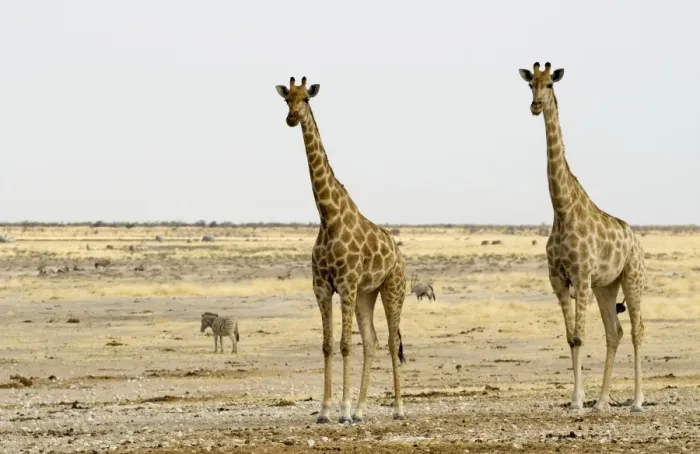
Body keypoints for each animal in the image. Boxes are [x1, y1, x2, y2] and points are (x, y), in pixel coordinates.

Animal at [275, 77, 407, 423]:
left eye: (306, 98)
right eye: (286, 99)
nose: (291, 118)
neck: (328, 216)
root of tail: (399, 254)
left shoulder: (345, 283)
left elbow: (346, 344)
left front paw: (343, 411)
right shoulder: (322, 286)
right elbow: (327, 345)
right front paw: (325, 411)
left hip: (392, 289)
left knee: (391, 342)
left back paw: (397, 409)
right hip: (366, 294)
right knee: (372, 341)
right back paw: (361, 411)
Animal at [518, 62, 646, 412]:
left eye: (550, 84)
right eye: (530, 84)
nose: (535, 106)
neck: (562, 211)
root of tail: (636, 240)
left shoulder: (581, 274)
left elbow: (580, 335)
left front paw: (577, 400)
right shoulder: (559, 278)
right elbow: (571, 337)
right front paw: (577, 398)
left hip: (632, 277)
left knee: (637, 331)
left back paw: (637, 400)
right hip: (606, 286)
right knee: (614, 332)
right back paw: (601, 402)